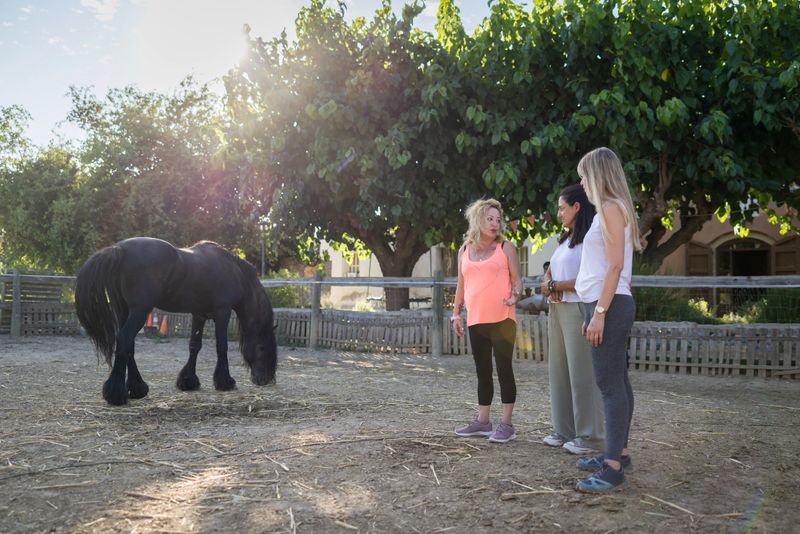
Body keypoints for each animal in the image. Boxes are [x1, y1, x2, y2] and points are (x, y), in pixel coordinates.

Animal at [75, 237, 277, 405]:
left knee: (128, 345)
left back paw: (137, 388)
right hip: (139, 311)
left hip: (123, 310)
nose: (264, 380)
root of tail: (119, 249)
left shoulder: (199, 314)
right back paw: (116, 393)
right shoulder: (223, 312)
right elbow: (222, 346)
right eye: (261, 348)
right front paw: (225, 382)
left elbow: (194, 346)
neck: (234, 271)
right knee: (124, 339)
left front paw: (188, 381)